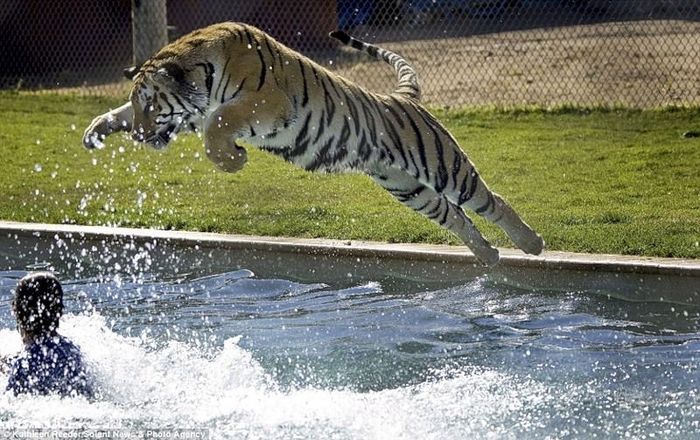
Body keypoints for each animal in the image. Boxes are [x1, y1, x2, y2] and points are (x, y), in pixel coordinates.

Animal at [80, 22, 540, 266]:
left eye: (151, 105)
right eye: (140, 106)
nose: (140, 137)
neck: (200, 71)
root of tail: (401, 97)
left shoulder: (265, 102)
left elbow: (217, 126)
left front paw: (234, 160)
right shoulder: (196, 111)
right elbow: (125, 112)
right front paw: (96, 130)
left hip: (442, 163)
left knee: (491, 200)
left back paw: (531, 244)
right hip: (406, 187)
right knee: (454, 216)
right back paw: (488, 257)